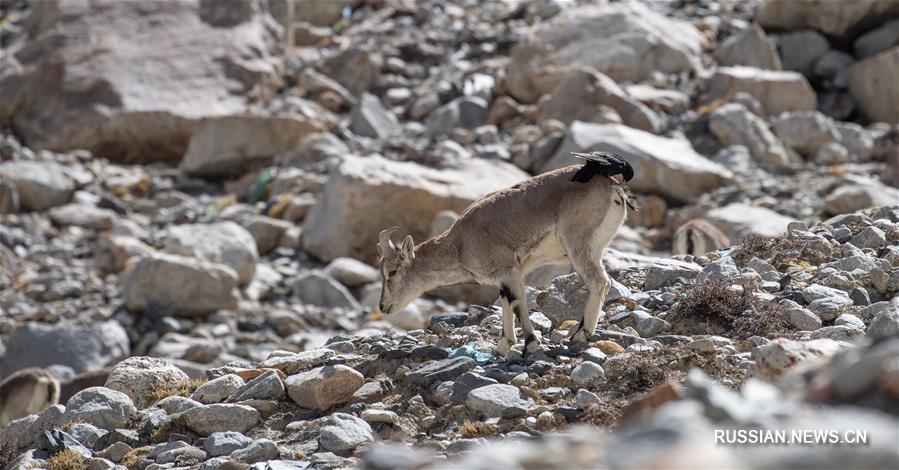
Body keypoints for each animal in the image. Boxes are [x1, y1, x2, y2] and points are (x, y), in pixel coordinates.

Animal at [376, 153, 636, 356]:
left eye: (392, 272)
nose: (383, 306)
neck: (460, 244)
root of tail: (610, 182)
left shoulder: (508, 270)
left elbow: (518, 303)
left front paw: (529, 344)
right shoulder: (508, 277)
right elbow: (506, 302)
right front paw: (504, 346)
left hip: (577, 241)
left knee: (599, 281)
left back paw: (582, 336)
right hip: (595, 246)